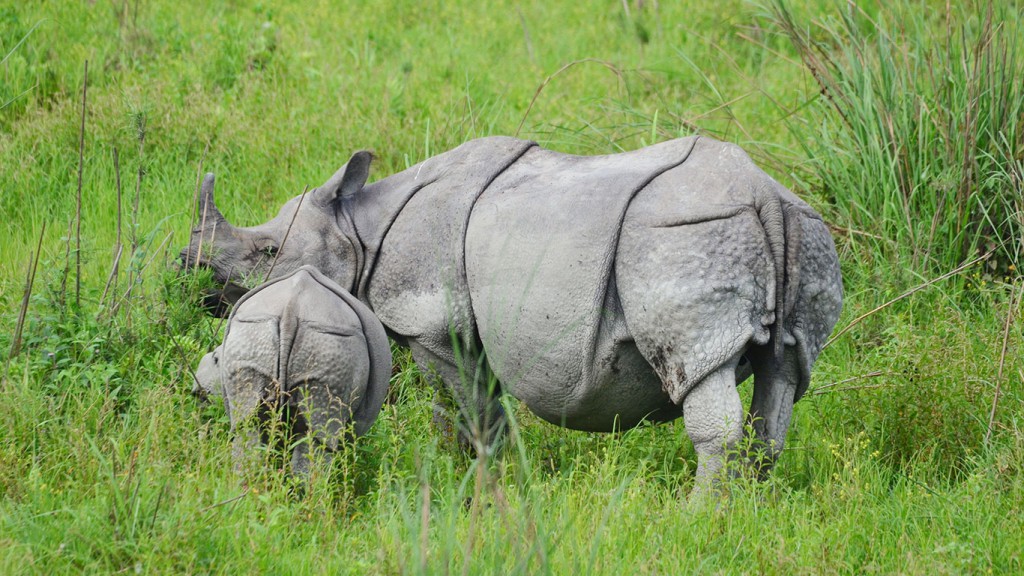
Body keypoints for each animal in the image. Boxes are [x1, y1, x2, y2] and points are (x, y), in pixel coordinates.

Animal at [194, 264, 391, 475]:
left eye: (216, 359)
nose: (196, 390)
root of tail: (292, 308)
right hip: (328, 341)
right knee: (318, 438)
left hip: (254, 333)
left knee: (248, 426)